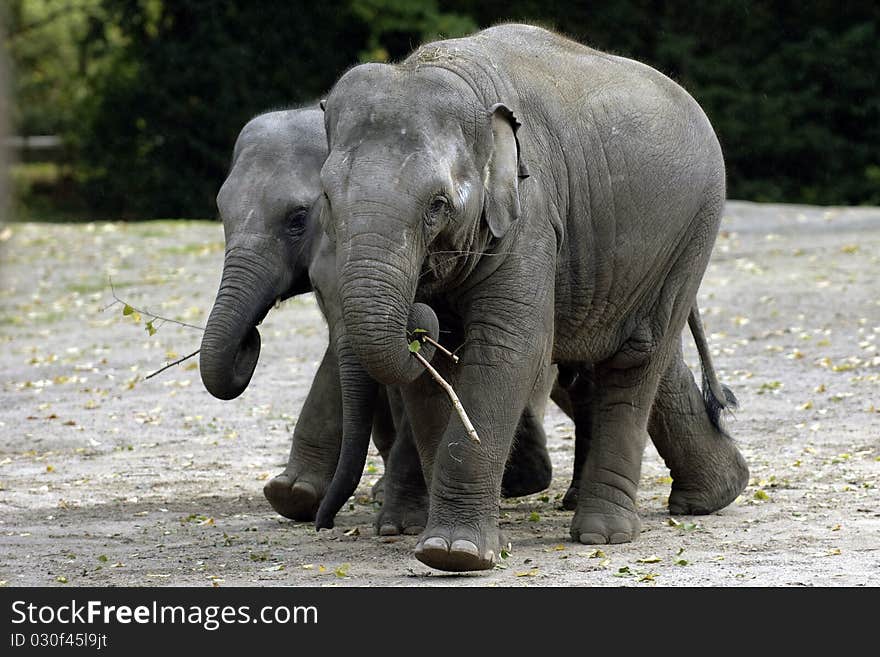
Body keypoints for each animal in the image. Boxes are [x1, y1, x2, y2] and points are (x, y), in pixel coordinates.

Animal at [316, 23, 748, 572]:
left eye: (437, 205)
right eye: (327, 199)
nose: (321, 523)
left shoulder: (533, 214)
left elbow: (510, 347)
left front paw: (456, 554)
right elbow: (429, 376)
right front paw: (444, 543)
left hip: (693, 230)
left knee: (637, 356)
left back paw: (605, 534)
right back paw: (714, 495)